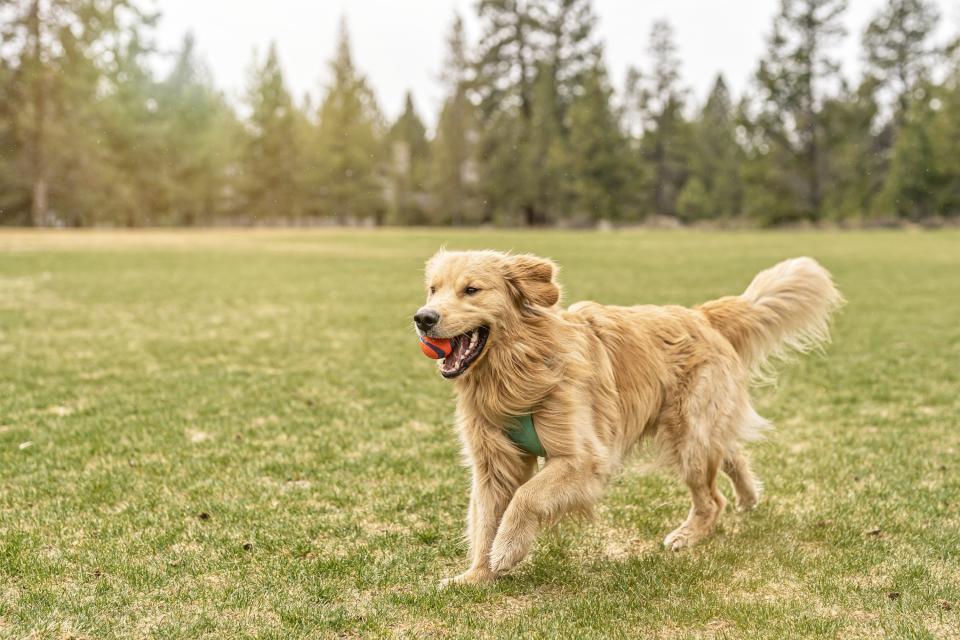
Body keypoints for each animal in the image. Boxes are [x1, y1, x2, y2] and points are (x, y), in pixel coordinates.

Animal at [412, 250, 840, 584]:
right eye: (433, 288)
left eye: (471, 290)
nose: (423, 318)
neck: (517, 371)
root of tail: (700, 315)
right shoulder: (492, 464)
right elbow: (485, 519)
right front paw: (476, 575)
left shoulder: (583, 460)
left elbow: (525, 497)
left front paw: (507, 550)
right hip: (699, 431)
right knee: (731, 451)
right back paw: (749, 495)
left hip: (688, 437)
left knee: (712, 498)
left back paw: (689, 533)